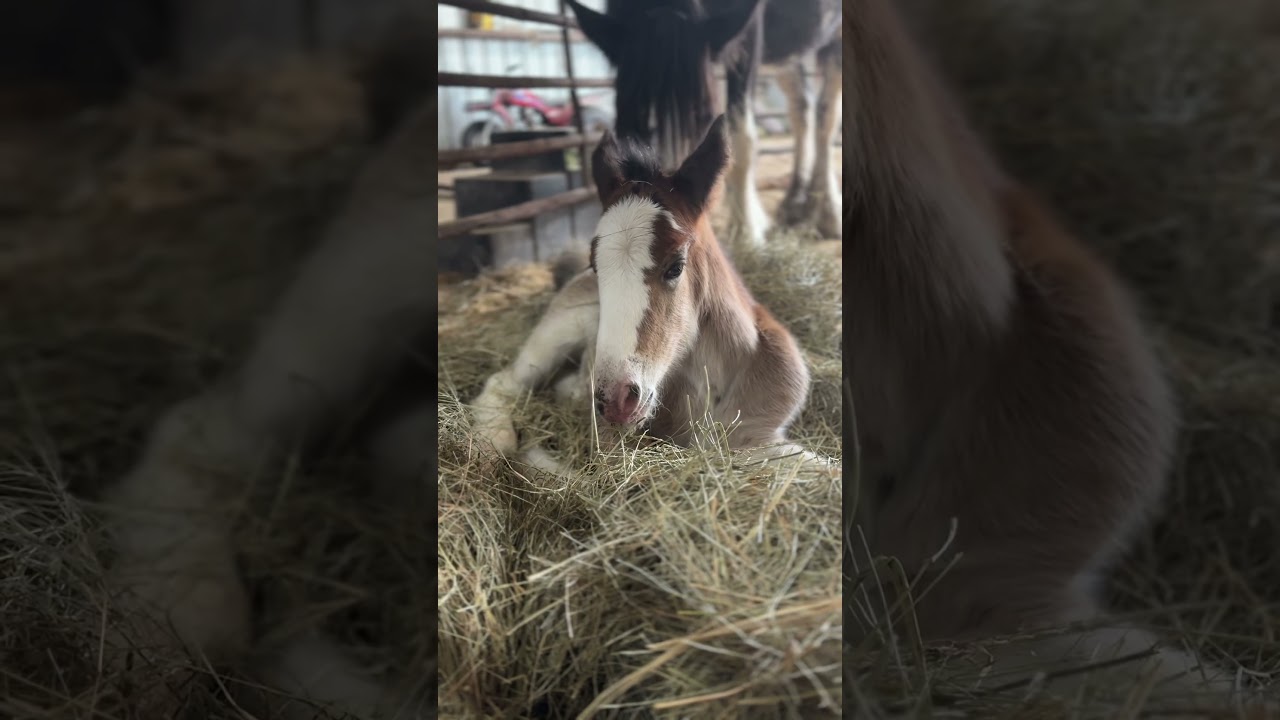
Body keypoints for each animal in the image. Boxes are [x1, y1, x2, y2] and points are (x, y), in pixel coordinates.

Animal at [470, 115, 812, 463]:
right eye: (596, 266)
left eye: (675, 266)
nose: (615, 400)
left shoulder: (762, 433)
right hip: (556, 333)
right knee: (505, 381)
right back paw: (491, 441)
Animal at [566, 0, 842, 249]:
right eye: (628, 118)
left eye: (703, 116)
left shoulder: (746, 36)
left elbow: (740, 137)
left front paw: (746, 231)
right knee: (802, 110)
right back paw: (795, 201)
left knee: (826, 117)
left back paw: (828, 213)